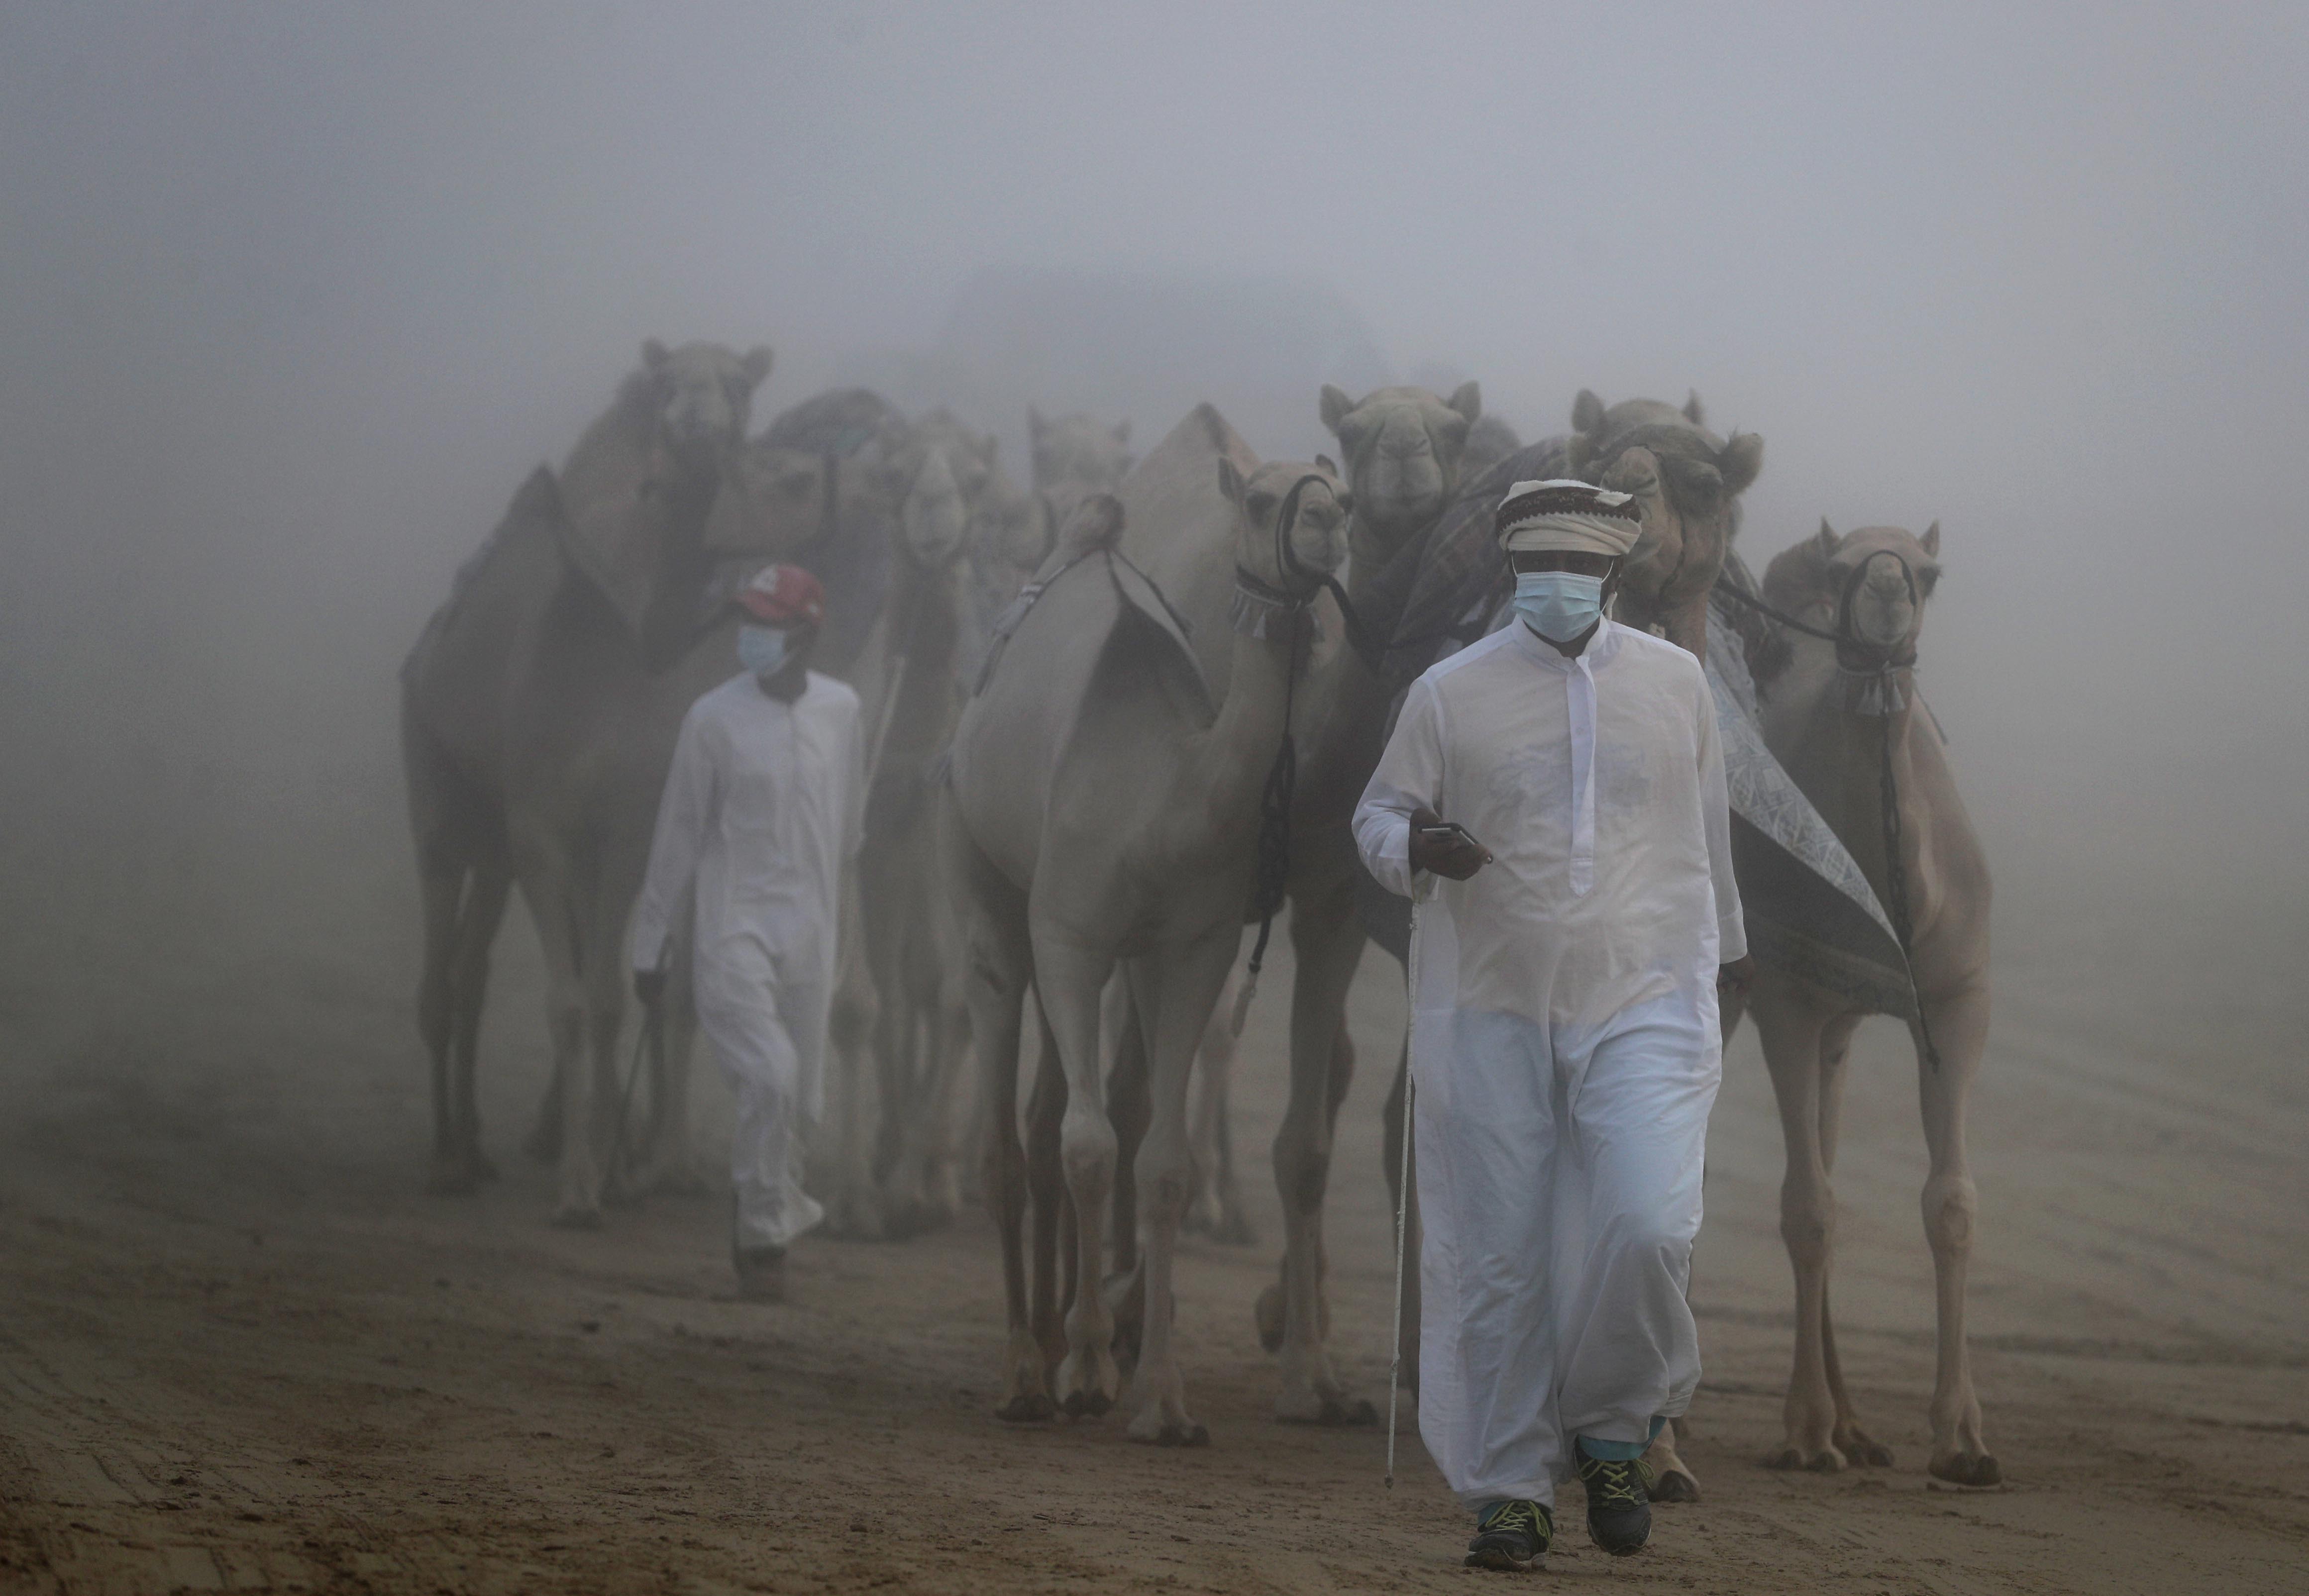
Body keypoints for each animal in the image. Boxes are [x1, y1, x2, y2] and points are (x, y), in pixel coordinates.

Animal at [946, 406, 1348, 1441]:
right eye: (1260, 498)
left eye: (1347, 493)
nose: (1327, 522)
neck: (1162, 796)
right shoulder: (1072, 935)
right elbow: (1091, 1148)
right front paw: (1089, 1364)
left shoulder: (1190, 946)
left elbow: (1162, 1160)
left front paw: (1162, 1395)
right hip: (986, 886)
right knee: (1010, 1136)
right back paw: (1024, 1365)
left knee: (1061, 1119)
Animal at [1736, 522, 1994, 1487]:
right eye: (1849, 567)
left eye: (1930, 572)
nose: (1884, 593)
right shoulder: (1785, 1001)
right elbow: (1806, 1209)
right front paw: (1804, 1431)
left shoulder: (1959, 1000)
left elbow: (1950, 1204)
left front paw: (1962, 1436)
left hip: (1842, 1031)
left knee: (1830, 1151)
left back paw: (1856, 1426)